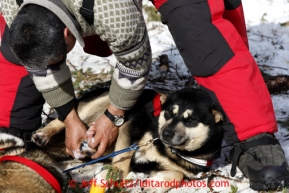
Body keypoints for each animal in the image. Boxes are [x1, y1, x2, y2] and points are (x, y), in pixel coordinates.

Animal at [0, 88, 223, 193]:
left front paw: (155, 185)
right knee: (63, 120)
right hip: (103, 104)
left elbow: (178, 174)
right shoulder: (130, 126)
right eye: (169, 113)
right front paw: (111, 177)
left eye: (190, 119)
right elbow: (122, 162)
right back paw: (43, 134)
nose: (165, 133)